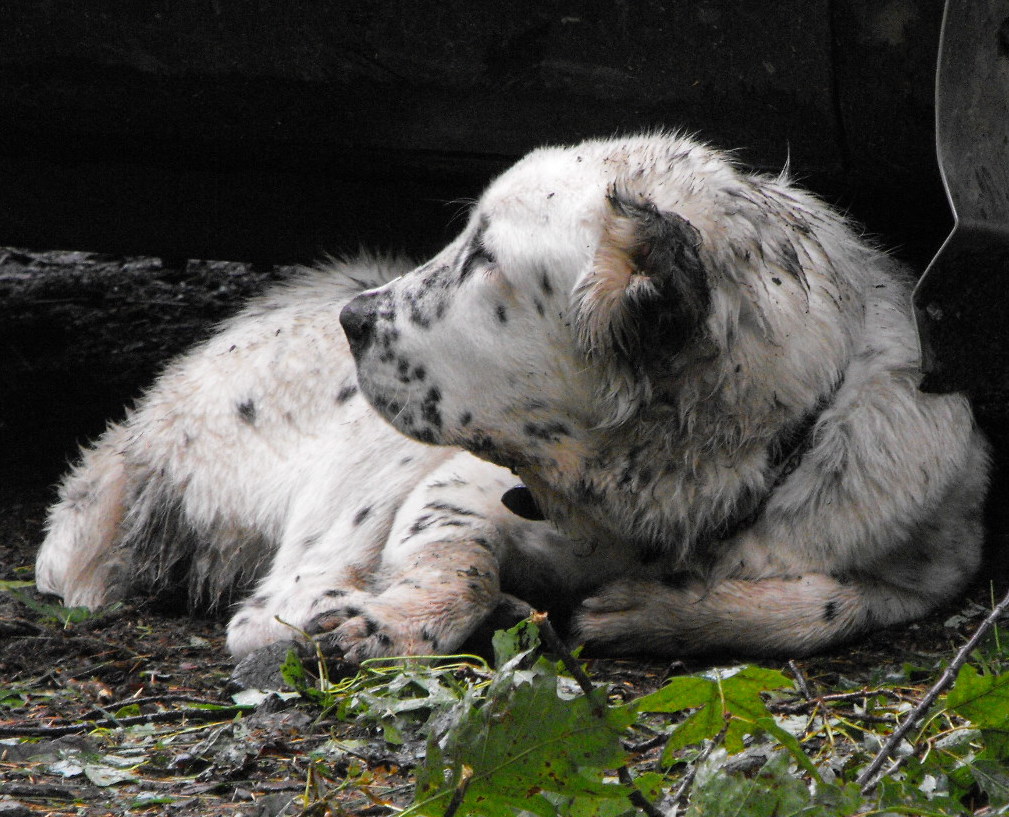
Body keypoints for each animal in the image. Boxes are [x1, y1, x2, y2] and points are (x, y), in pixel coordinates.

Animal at [35, 130, 988, 657]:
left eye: (484, 258)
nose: (353, 318)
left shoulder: (930, 559)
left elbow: (833, 602)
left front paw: (653, 612)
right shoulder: (455, 488)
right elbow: (452, 559)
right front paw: (395, 621)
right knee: (276, 605)